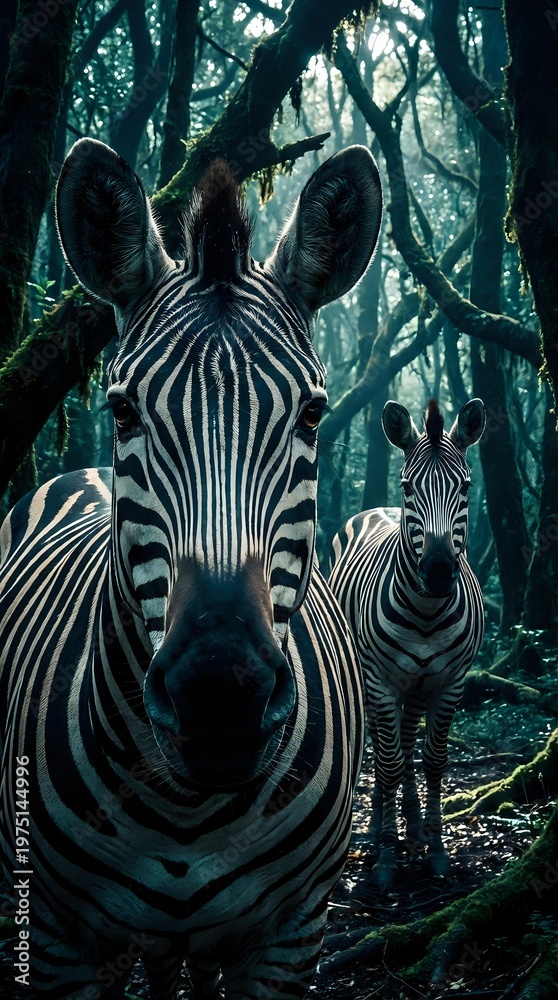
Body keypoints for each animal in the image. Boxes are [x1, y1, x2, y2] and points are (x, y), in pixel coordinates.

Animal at [0, 139, 383, 999]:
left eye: (313, 414)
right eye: (121, 411)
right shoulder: (57, 936)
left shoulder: (290, 936)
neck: (186, 816)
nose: (220, 699)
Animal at [329, 397, 485, 887]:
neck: (426, 614)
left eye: (466, 486)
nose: (436, 572)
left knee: (409, 741)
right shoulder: (379, 680)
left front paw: (435, 852)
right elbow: (390, 761)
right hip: (372, 679)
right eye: (407, 487)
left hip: (417, 685)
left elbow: (433, 760)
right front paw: (385, 859)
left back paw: (412, 827)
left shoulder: (451, 681)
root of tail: (377, 509)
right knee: (382, 751)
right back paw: (380, 828)